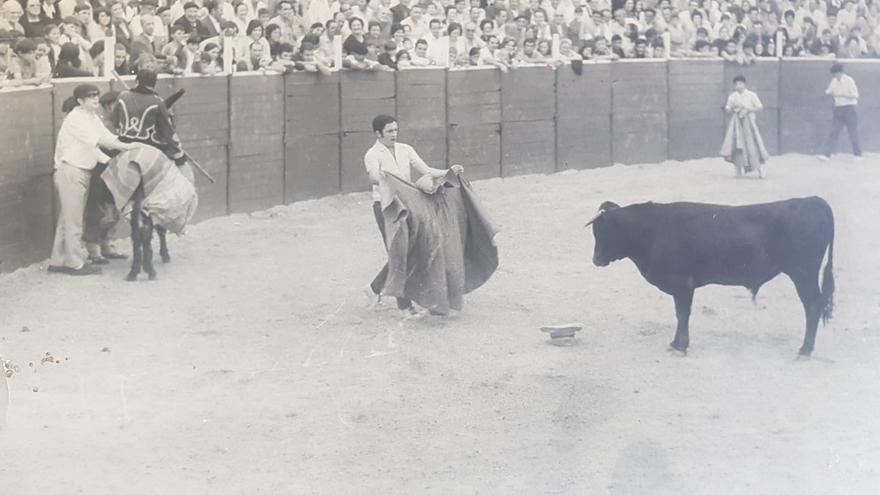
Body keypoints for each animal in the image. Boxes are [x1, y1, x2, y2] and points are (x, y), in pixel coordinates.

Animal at [588, 197, 836, 356]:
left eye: (603, 231)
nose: (595, 260)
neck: (653, 230)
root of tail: (814, 200)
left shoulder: (683, 284)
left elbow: (682, 314)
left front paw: (680, 347)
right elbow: (680, 315)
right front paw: (676, 344)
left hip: (803, 274)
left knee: (813, 306)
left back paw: (805, 350)